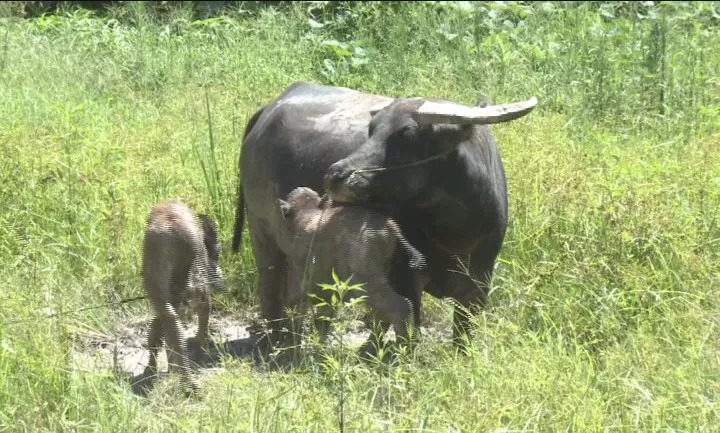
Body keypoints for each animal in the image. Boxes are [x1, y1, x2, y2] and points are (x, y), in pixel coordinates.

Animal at [233, 82, 536, 348]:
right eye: (371, 130)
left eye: (407, 134)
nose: (335, 175)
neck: (456, 231)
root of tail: (272, 108)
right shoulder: (405, 278)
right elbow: (405, 324)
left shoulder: (478, 286)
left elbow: (460, 339)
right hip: (262, 230)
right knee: (270, 286)